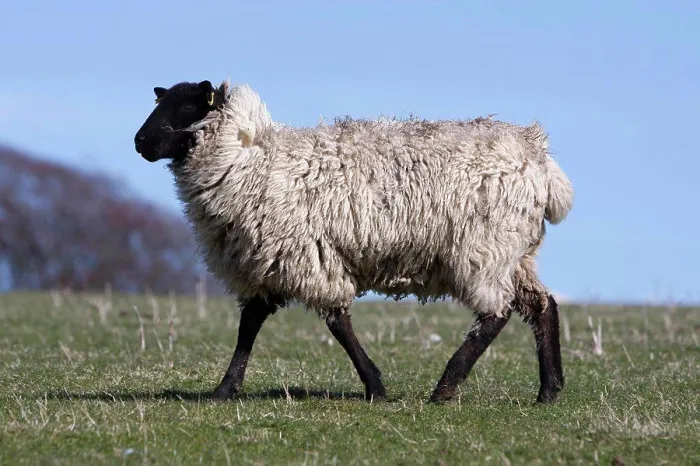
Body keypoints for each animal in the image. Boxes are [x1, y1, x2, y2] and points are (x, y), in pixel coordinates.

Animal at [133, 79, 574, 404]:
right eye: (162, 101)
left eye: (187, 107)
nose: (139, 142)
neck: (250, 159)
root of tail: (539, 157)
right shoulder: (268, 261)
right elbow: (250, 324)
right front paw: (225, 389)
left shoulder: (306, 254)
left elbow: (336, 323)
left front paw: (375, 386)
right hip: (515, 253)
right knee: (542, 306)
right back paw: (548, 391)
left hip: (483, 248)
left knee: (497, 313)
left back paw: (446, 387)